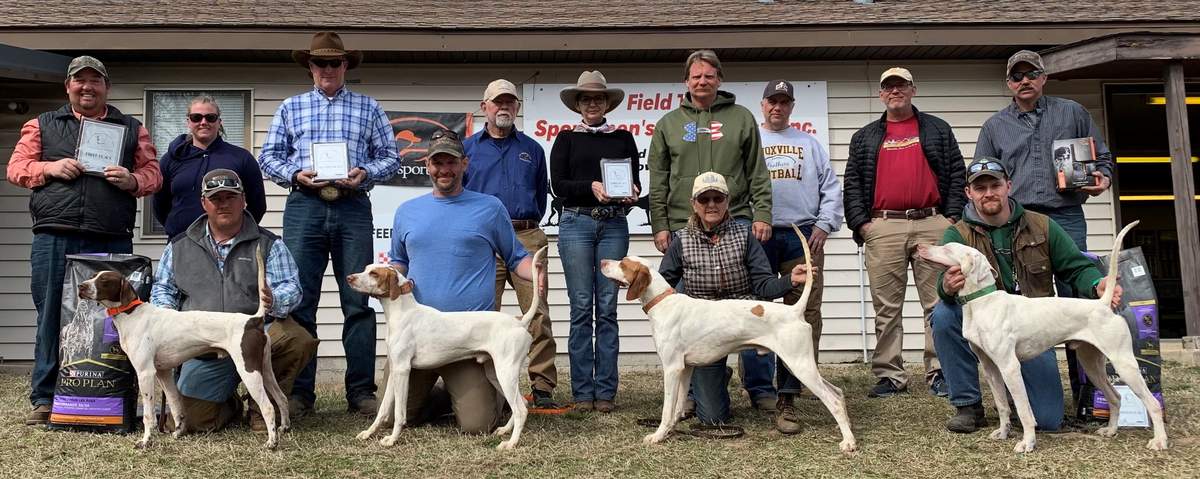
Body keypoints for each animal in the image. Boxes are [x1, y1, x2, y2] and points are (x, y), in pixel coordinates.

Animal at [78, 249, 290, 451]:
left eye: (104, 281)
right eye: (93, 275)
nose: (81, 286)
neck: (132, 315)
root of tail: (253, 320)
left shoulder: (146, 373)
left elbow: (148, 416)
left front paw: (146, 441)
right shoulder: (163, 372)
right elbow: (175, 405)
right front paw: (178, 432)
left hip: (249, 371)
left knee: (268, 407)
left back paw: (272, 442)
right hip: (265, 370)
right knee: (282, 398)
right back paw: (284, 427)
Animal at [348, 247, 549, 451]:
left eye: (374, 274)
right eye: (366, 269)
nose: (349, 277)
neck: (403, 312)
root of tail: (520, 322)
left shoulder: (404, 370)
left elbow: (399, 413)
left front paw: (392, 439)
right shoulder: (395, 371)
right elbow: (383, 409)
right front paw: (369, 433)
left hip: (505, 372)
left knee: (521, 410)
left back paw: (510, 443)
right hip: (496, 373)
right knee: (522, 403)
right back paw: (504, 430)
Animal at [600, 228, 854, 453]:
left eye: (623, 264)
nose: (602, 261)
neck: (663, 302)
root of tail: (794, 311)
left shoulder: (671, 368)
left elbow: (666, 408)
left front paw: (658, 435)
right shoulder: (685, 368)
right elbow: (678, 407)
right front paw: (670, 431)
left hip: (799, 365)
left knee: (832, 400)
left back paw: (849, 443)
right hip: (805, 365)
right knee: (838, 393)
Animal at [916, 220, 1161, 453]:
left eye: (948, 248)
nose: (920, 247)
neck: (981, 301)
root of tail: (1102, 304)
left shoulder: (1009, 367)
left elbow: (1024, 411)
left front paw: (1028, 443)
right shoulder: (990, 368)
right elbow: (1003, 406)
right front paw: (1003, 433)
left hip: (1124, 364)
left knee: (1153, 404)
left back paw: (1159, 441)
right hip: (1092, 365)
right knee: (1116, 397)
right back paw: (1110, 431)